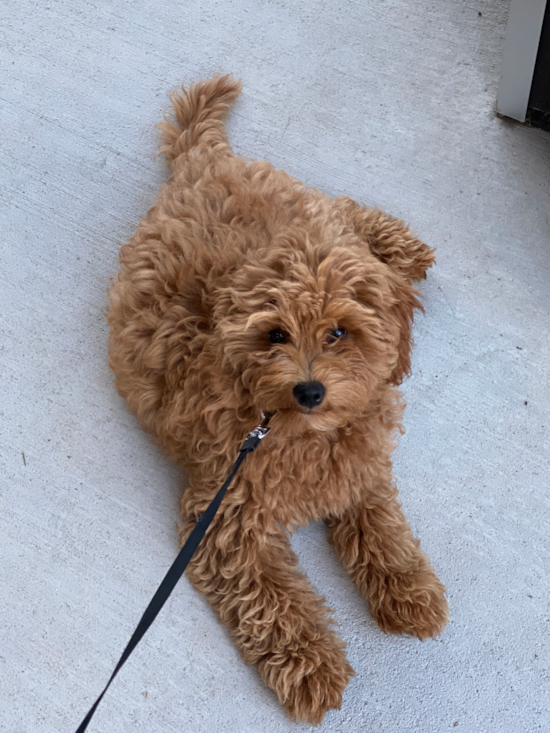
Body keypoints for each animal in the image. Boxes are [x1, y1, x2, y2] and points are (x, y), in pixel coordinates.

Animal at [106, 71, 448, 724]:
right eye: (275, 335)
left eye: (339, 332)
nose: (310, 390)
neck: (294, 431)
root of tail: (204, 162)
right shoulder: (224, 517)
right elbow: (273, 602)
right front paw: (313, 667)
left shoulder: (360, 467)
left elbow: (383, 526)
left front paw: (408, 590)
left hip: (314, 212)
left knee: (346, 213)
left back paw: (403, 249)